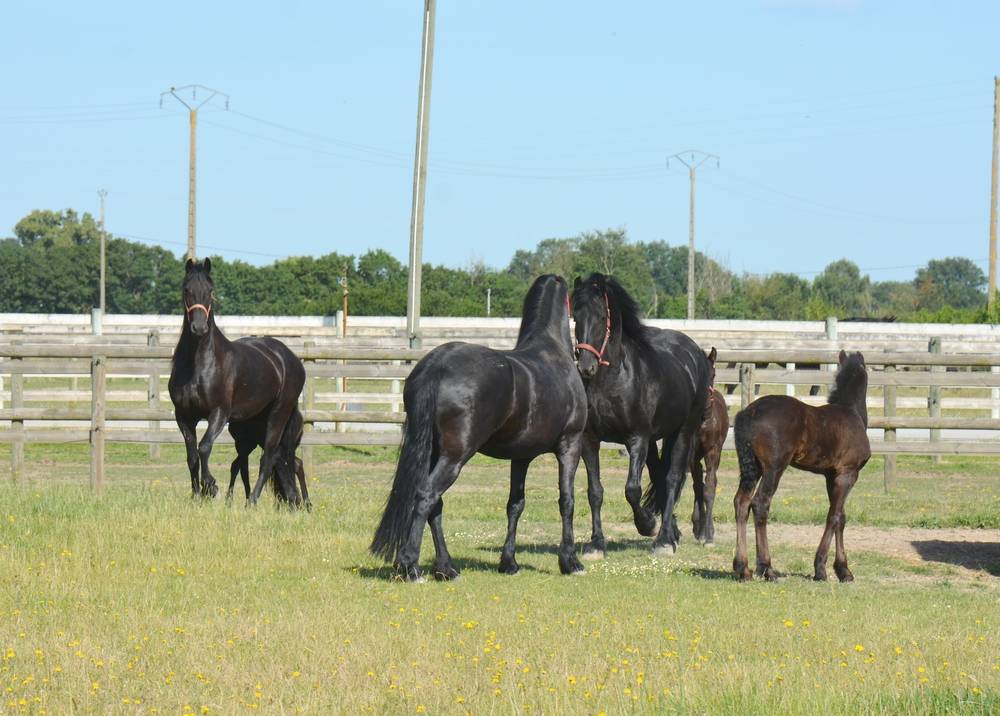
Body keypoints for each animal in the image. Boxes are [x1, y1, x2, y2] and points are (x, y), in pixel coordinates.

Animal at [168, 258, 306, 504]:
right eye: (186, 290)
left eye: (210, 291)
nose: (199, 328)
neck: (199, 364)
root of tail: (290, 359)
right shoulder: (183, 416)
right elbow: (192, 456)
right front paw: (197, 496)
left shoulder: (219, 413)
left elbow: (204, 447)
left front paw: (210, 486)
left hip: (278, 415)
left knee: (268, 458)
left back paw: (252, 501)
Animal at [370, 274, 587, 581]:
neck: (553, 351)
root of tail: (436, 366)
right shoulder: (570, 445)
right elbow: (567, 501)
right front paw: (570, 561)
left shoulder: (521, 456)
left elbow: (515, 504)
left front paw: (509, 563)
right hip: (455, 456)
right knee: (427, 495)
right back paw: (410, 565)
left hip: (435, 452)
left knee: (435, 504)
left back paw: (446, 568)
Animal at [571, 273, 712, 557]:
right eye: (575, 316)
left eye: (602, 317)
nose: (586, 367)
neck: (615, 379)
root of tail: (695, 353)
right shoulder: (589, 440)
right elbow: (595, 491)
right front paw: (596, 544)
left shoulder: (636, 439)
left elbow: (632, 490)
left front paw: (647, 524)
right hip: (656, 441)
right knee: (659, 477)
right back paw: (673, 533)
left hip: (683, 432)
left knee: (672, 478)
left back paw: (664, 540)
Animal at [732, 350, 870, 582]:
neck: (851, 412)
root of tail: (748, 413)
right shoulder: (848, 473)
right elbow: (833, 516)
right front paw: (821, 569)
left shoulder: (831, 476)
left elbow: (841, 517)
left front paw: (843, 570)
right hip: (774, 468)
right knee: (760, 504)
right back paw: (767, 568)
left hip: (752, 467)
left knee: (741, 502)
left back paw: (743, 568)